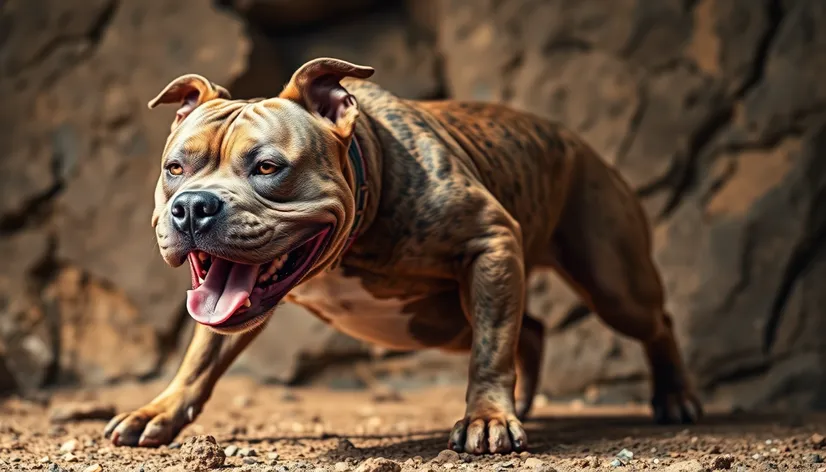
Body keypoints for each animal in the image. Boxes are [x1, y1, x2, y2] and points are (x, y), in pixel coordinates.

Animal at [100, 58, 700, 454]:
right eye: (175, 168)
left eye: (268, 167)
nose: (192, 208)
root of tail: (578, 141)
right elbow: (200, 358)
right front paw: (159, 411)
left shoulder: (490, 240)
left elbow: (490, 352)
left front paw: (486, 418)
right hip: (445, 320)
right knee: (526, 327)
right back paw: (526, 398)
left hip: (612, 284)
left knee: (653, 322)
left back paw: (676, 398)